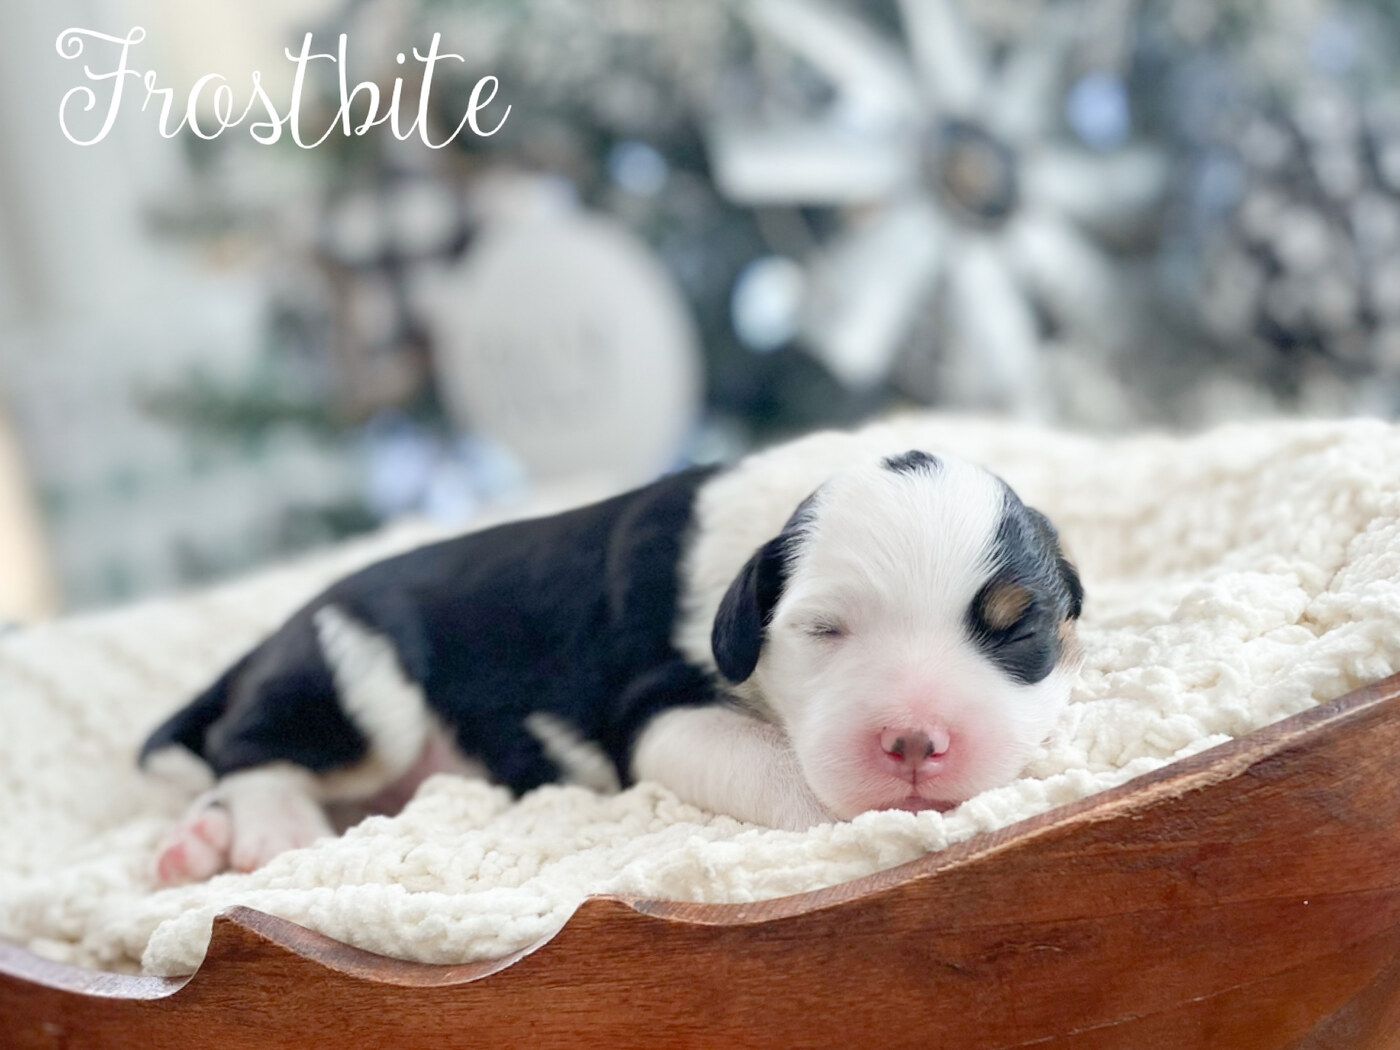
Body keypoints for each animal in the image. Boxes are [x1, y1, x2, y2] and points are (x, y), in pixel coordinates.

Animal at [141, 431, 1083, 884]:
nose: (915, 742)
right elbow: (769, 763)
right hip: (360, 684)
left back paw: (195, 845)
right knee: (244, 746)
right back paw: (268, 828)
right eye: (824, 631)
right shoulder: (653, 706)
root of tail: (277, 631)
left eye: (1016, 628)